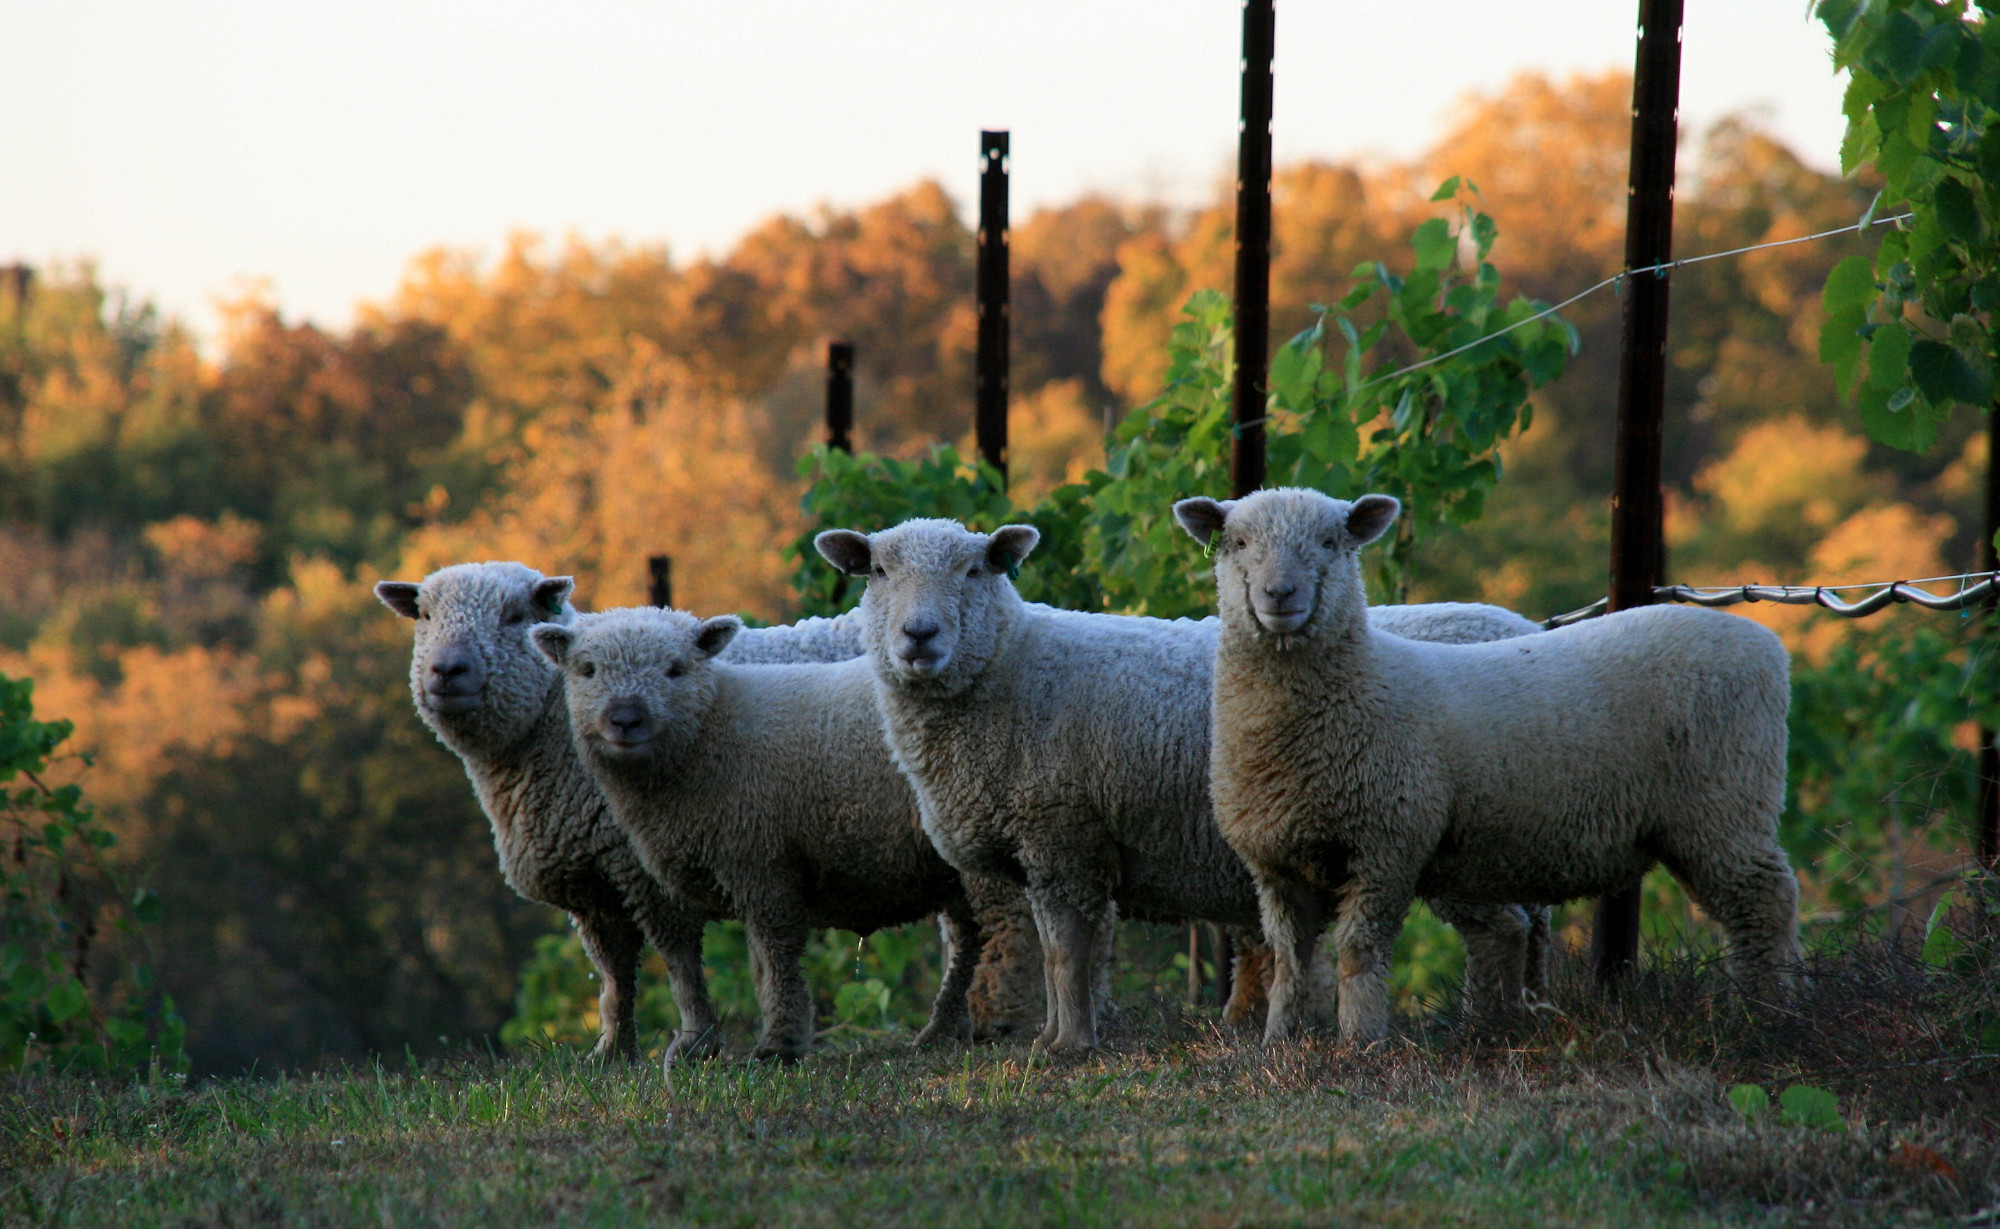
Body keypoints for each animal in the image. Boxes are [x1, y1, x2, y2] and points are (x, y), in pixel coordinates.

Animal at [375, 563, 872, 1064]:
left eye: (514, 615)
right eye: (424, 615)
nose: (446, 669)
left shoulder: (647, 869)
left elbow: (680, 962)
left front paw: (696, 1043)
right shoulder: (593, 884)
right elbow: (613, 974)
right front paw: (611, 1053)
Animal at [532, 606, 993, 1062]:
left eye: (675, 669)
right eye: (588, 670)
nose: (626, 719)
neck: (711, 732)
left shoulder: (759, 857)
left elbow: (775, 955)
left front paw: (779, 1045)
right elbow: (698, 964)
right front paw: (698, 1046)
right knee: (968, 937)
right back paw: (947, 1029)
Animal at [813, 518, 1554, 1053]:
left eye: (973, 569)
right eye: (878, 570)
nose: (919, 635)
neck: (1010, 668)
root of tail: (1522, 625)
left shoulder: (1060, 831)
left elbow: (1064, 950)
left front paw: (1065, 1044)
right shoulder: (1059, 844)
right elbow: (1062, 950)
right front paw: (1057, 1033)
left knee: (1502, 929)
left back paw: (1486, 1029)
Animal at [1173, 488, 1801, 1045]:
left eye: (1331, 542)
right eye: (1237, 542)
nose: (1280, 594)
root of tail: (1766, 644)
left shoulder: (1386, 845)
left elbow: (1359, 950)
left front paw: (1358, 1043)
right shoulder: (1276, 863)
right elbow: (1289, 961)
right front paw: (1279, 1042)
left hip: (1726, 802)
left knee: (1765, 901)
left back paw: (1771, 1013)